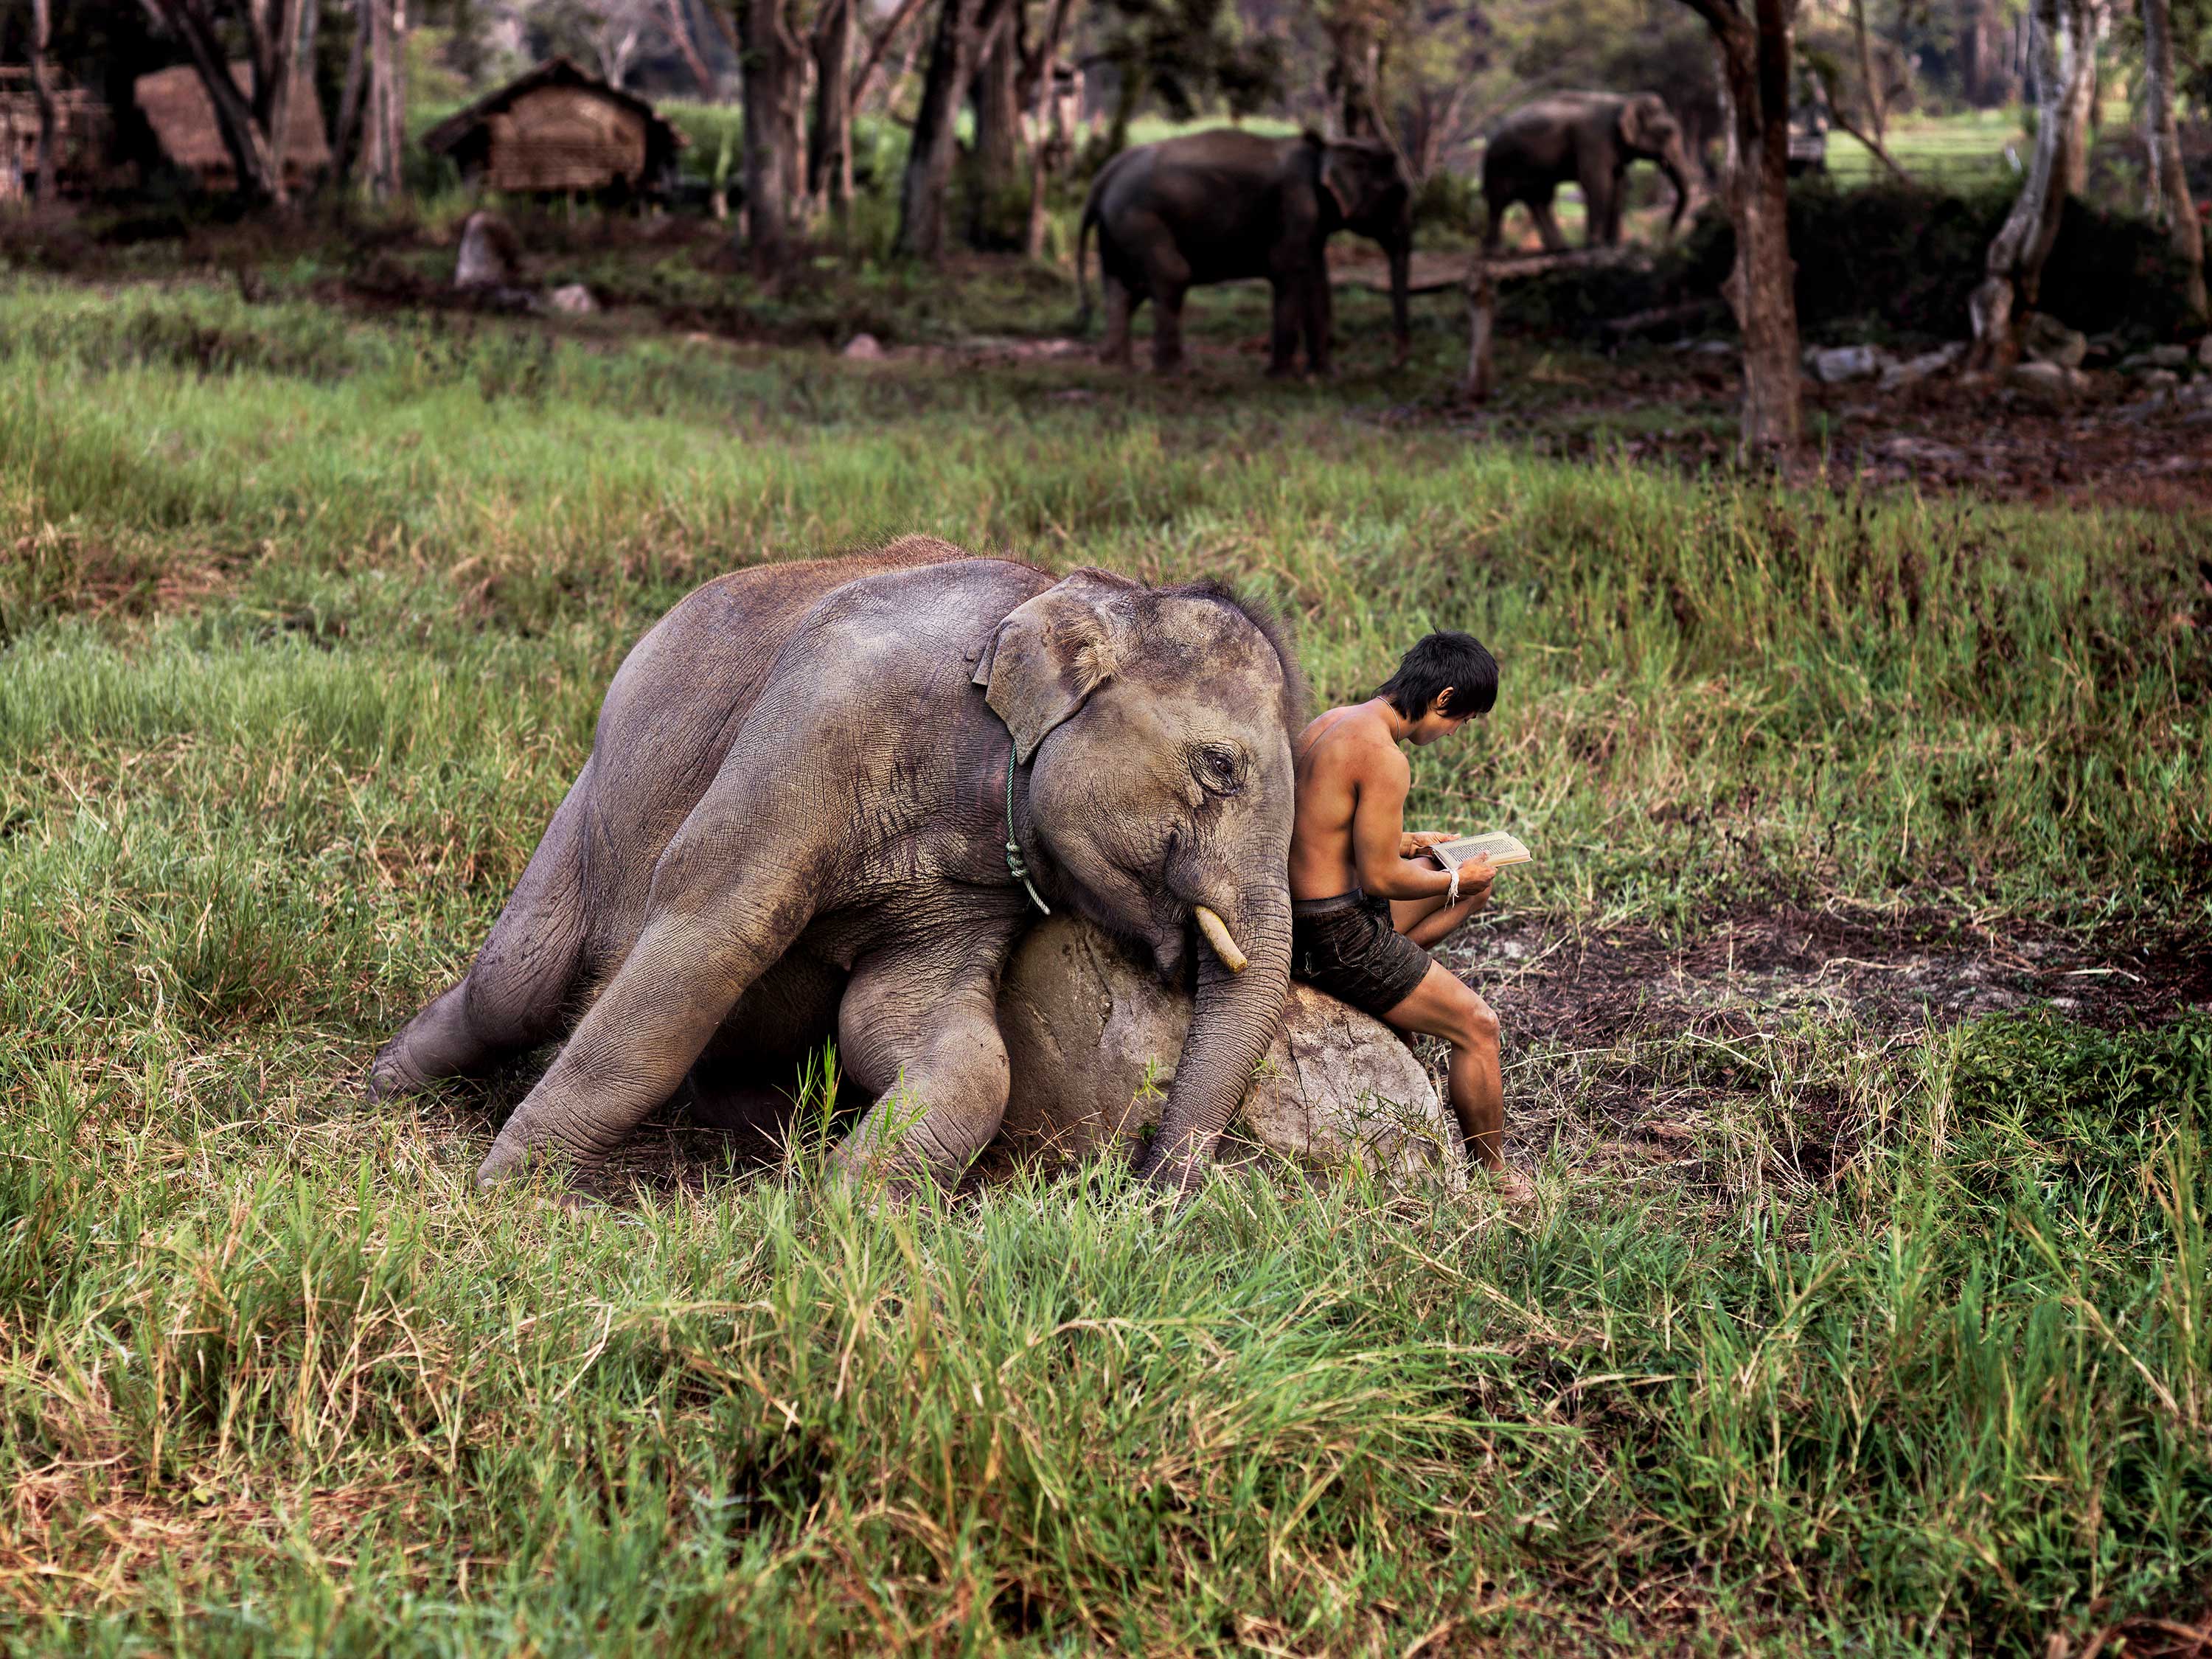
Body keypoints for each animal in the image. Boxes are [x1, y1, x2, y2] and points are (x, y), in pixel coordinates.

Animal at [376, 540, 1310, 1203]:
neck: (1049, 593)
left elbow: (931, 1034)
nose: (1145, 1194)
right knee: (517, 985)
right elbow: (709, 938)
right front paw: (510, 1193)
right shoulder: (821, 718)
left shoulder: (972, 883)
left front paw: (846, 1212)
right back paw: (390, 1081)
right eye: (1222, 767)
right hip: (589, 804)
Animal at [1075, 129, 1416, 376]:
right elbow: (1288, 272)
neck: (1328, 147)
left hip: (1117, 227)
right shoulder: (1296, 208)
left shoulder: (1312, 223)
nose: (1393, 365)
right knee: (1171, 277)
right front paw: (1282, 377)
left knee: (1125, 288)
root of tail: (1104, 176)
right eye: (1400, 192)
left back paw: (1119, 367)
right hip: (1141, 220)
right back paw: (1176, 372)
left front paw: (1326, 375)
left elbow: (1319, 281)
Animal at [1486, 91, 1690, 253]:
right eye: (1667, 131)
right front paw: (1596, 245)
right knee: (1499, 202)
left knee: (1539, 199)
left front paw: (1613, 245)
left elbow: (1619, 185)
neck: (1624, 100)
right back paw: (1497, 253)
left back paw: (1561, 249)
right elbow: (1598, 182)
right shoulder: (1594, 140)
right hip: (1499, 164)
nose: (1665, 238)